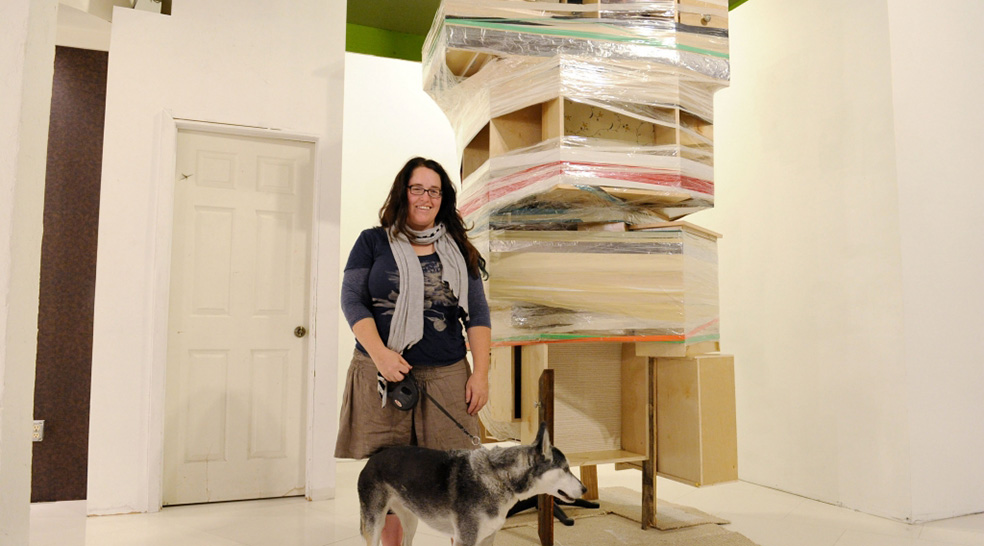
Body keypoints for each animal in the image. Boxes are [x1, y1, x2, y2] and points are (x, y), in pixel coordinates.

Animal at [358, 422, 586, 546]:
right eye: (566, 468)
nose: (585, 489)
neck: (499, 478)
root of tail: (372, 459)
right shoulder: (465, 539)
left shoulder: (488, 537)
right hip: (375, 523)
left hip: (409, 519)